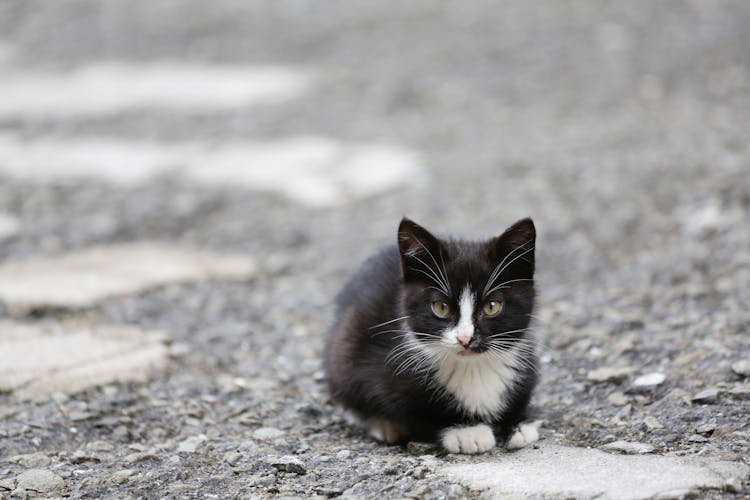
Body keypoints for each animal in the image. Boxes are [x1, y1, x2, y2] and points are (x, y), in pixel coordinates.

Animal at [326, 218, 544, 454]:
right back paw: (384, 425)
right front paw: (467, 431)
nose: (465, 339)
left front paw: (518, 424)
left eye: (492, 306)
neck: (473, 368)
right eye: (441, 307)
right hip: (346, 341)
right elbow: (417, 413)